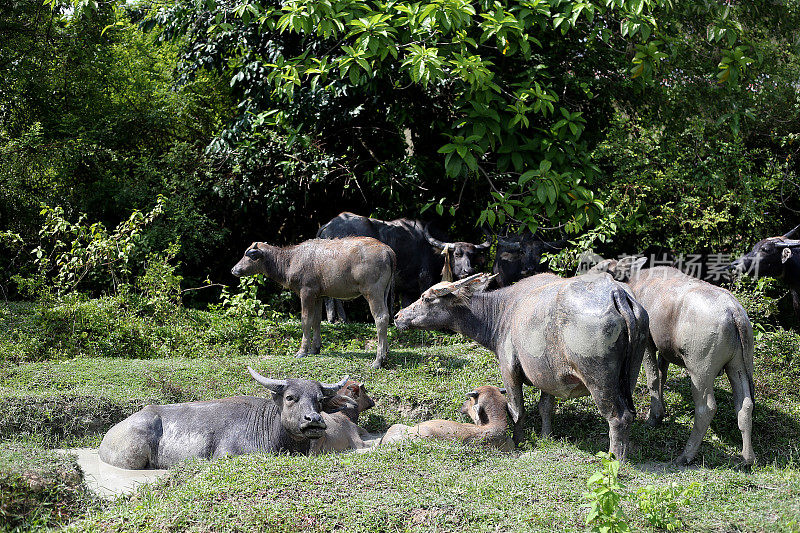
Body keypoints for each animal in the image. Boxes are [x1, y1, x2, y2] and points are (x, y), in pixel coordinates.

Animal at [230, 239, 396, 368]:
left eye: (250, 254)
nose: (234, 269)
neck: (290, 261)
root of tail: (388, 251)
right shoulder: (318, 295)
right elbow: (316, 321)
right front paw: (315, 349)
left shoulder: (306, 292)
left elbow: (306, 321)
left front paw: (302, 351)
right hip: (384, 291)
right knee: (387, 316)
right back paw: (386, 352)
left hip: (372, 290)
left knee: (380, 318)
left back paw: (378, 360)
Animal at [394, 272, 648, 460]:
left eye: (426, 298)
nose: (398, 316)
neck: (503, 312)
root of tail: (616, 293)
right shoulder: (546, 375)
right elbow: (545, 407)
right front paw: (546, 437)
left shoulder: (509, 370)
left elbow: (517, 409)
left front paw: (518, 441)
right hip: (630, 375)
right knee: (629, 414)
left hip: (599, 380)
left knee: (619, 416)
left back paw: (615, 458)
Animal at [592, 256, 756, 464]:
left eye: (602, 268)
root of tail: (734, 312)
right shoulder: (665, 351)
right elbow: (662, 377)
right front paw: (660, 413)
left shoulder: (648, 343)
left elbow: (653, 379)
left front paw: (654, 418)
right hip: (739, 366)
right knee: (745, 406)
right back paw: (747, 458)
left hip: (700, 370)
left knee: (706, 408)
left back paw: (686, 455)